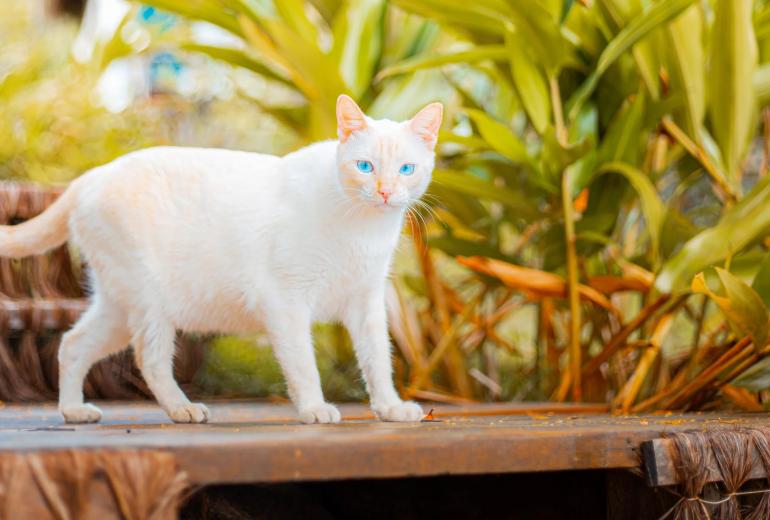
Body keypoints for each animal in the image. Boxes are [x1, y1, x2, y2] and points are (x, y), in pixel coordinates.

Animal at [0, 95, 440, 424]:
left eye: (406, 169)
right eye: (365, 166)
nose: (385, 192)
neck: (363, 228)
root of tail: (91, 175)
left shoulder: (366, 302)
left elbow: (378, 359)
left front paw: (390, 408)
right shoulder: (286, 302)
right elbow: (303, 364)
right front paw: (315, 408)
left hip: (118, 307)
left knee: (72, 344)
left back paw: (73, 411)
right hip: (150, 303)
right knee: (149, 359)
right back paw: (182, 409)